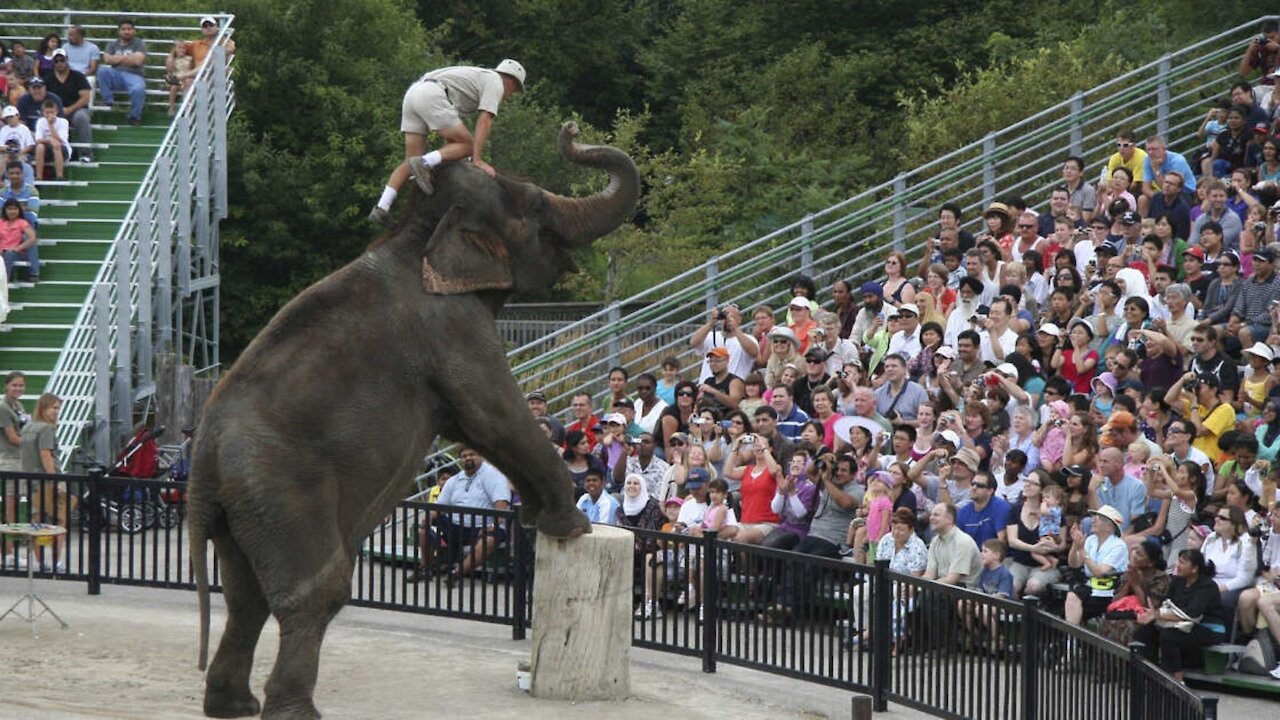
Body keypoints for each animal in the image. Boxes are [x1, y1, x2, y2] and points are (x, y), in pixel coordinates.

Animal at [188, 120, 640, 712]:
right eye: (537, 205)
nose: (570, 128)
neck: (417, 235)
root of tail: (199, 466)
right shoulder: (452, 330)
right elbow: (494, 415)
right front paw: (572, 526)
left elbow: (476, 429)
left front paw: (536, 521)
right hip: (280, 489)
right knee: (316, 589)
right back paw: (293, 711)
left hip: (245, 506)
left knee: (246, 595)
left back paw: (234, 708)